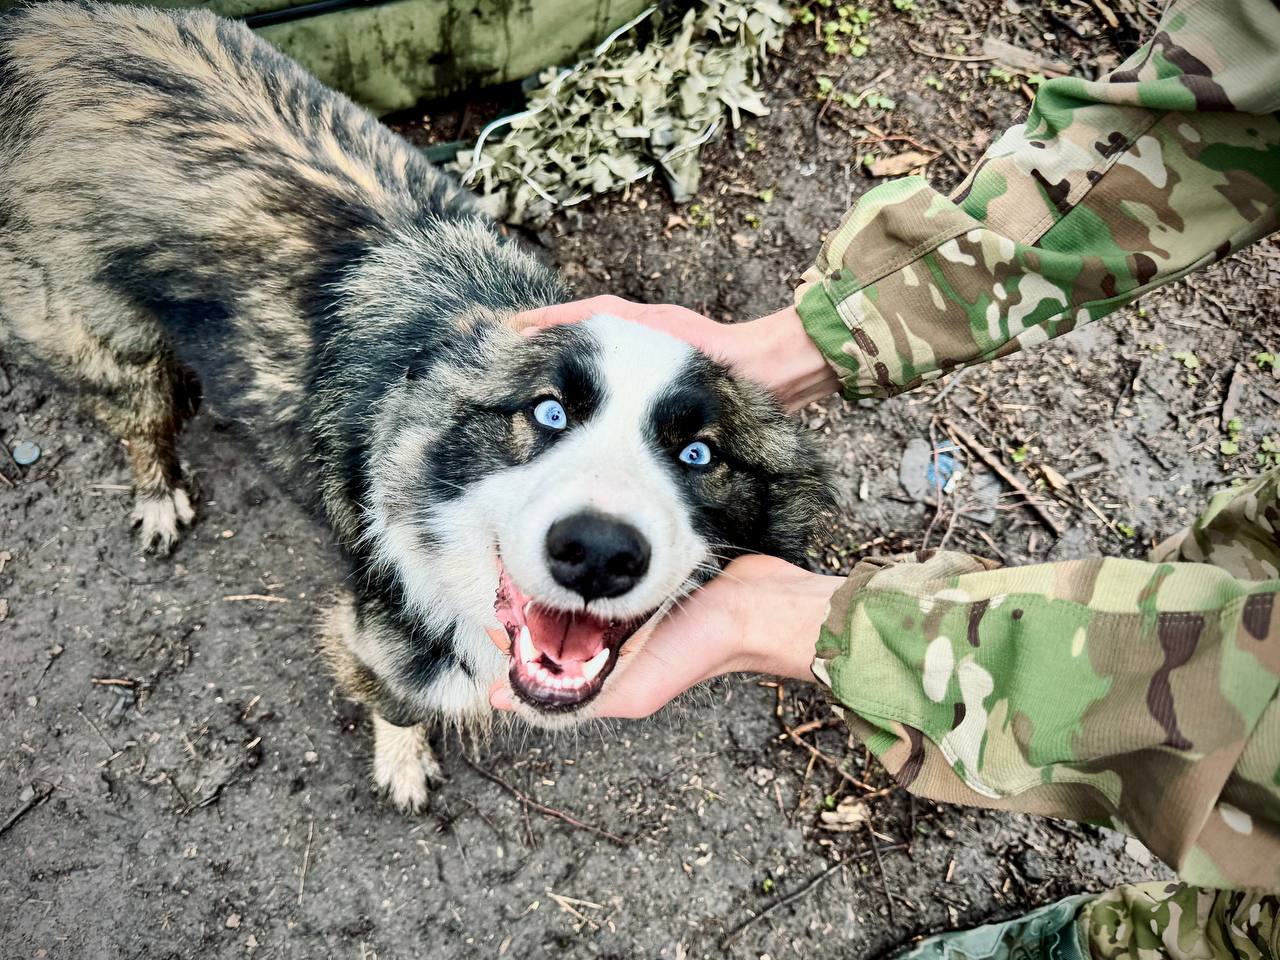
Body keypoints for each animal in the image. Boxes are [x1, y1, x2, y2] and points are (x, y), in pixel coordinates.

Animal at [0, 2, 831, 810]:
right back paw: (159, 489)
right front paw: (404, 764)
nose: (596, 552)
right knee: (139, 417)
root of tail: (36, 26)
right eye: (548, 413)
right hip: (100, 341)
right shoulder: (382, 639)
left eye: (700, 453)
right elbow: (396, 704)